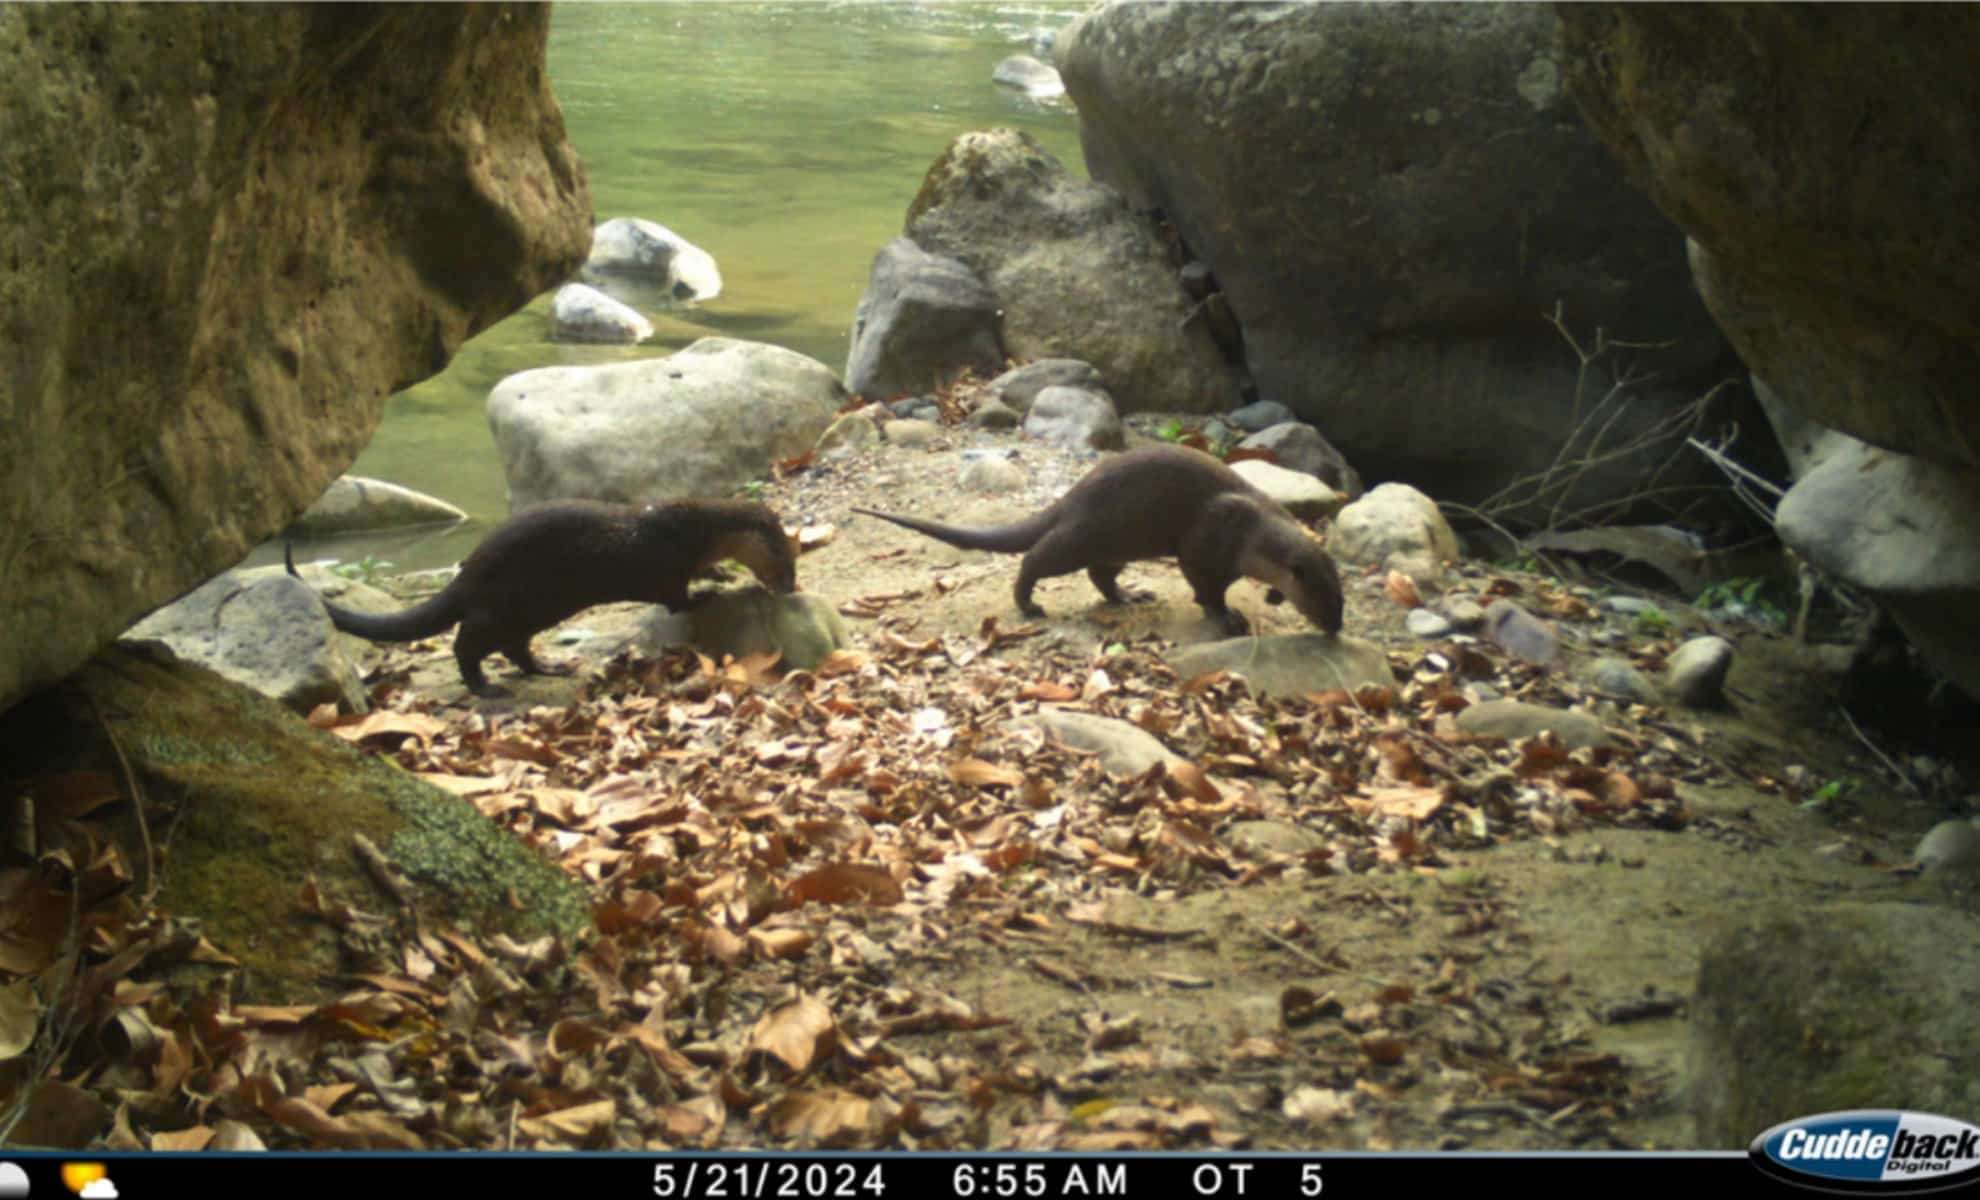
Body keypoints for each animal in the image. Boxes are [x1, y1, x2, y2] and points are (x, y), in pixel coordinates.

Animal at [288, 498, 798, 695]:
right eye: (785, 562)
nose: (792, 587)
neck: (691, 530)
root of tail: (468, 573)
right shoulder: (665, 568)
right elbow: (675, 598)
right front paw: (712, 589)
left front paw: (718, 571)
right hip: (500, 607)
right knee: (466, 644)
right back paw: (484, 686)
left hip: (526, 614)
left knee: (514, 648)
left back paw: (551, 667)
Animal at [854, 445, 1343, 637]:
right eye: (1321, 597)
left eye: (1341, 599)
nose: (1336, 627)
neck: (1253, 532)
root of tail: (1072, 496)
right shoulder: (1205, 540)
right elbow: (1205, 587)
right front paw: (1226, 617)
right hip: (1085, 534)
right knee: (1037, 558)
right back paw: (1029, 605)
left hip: (1118, 542)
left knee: (1100, 575)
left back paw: (1129, 596)